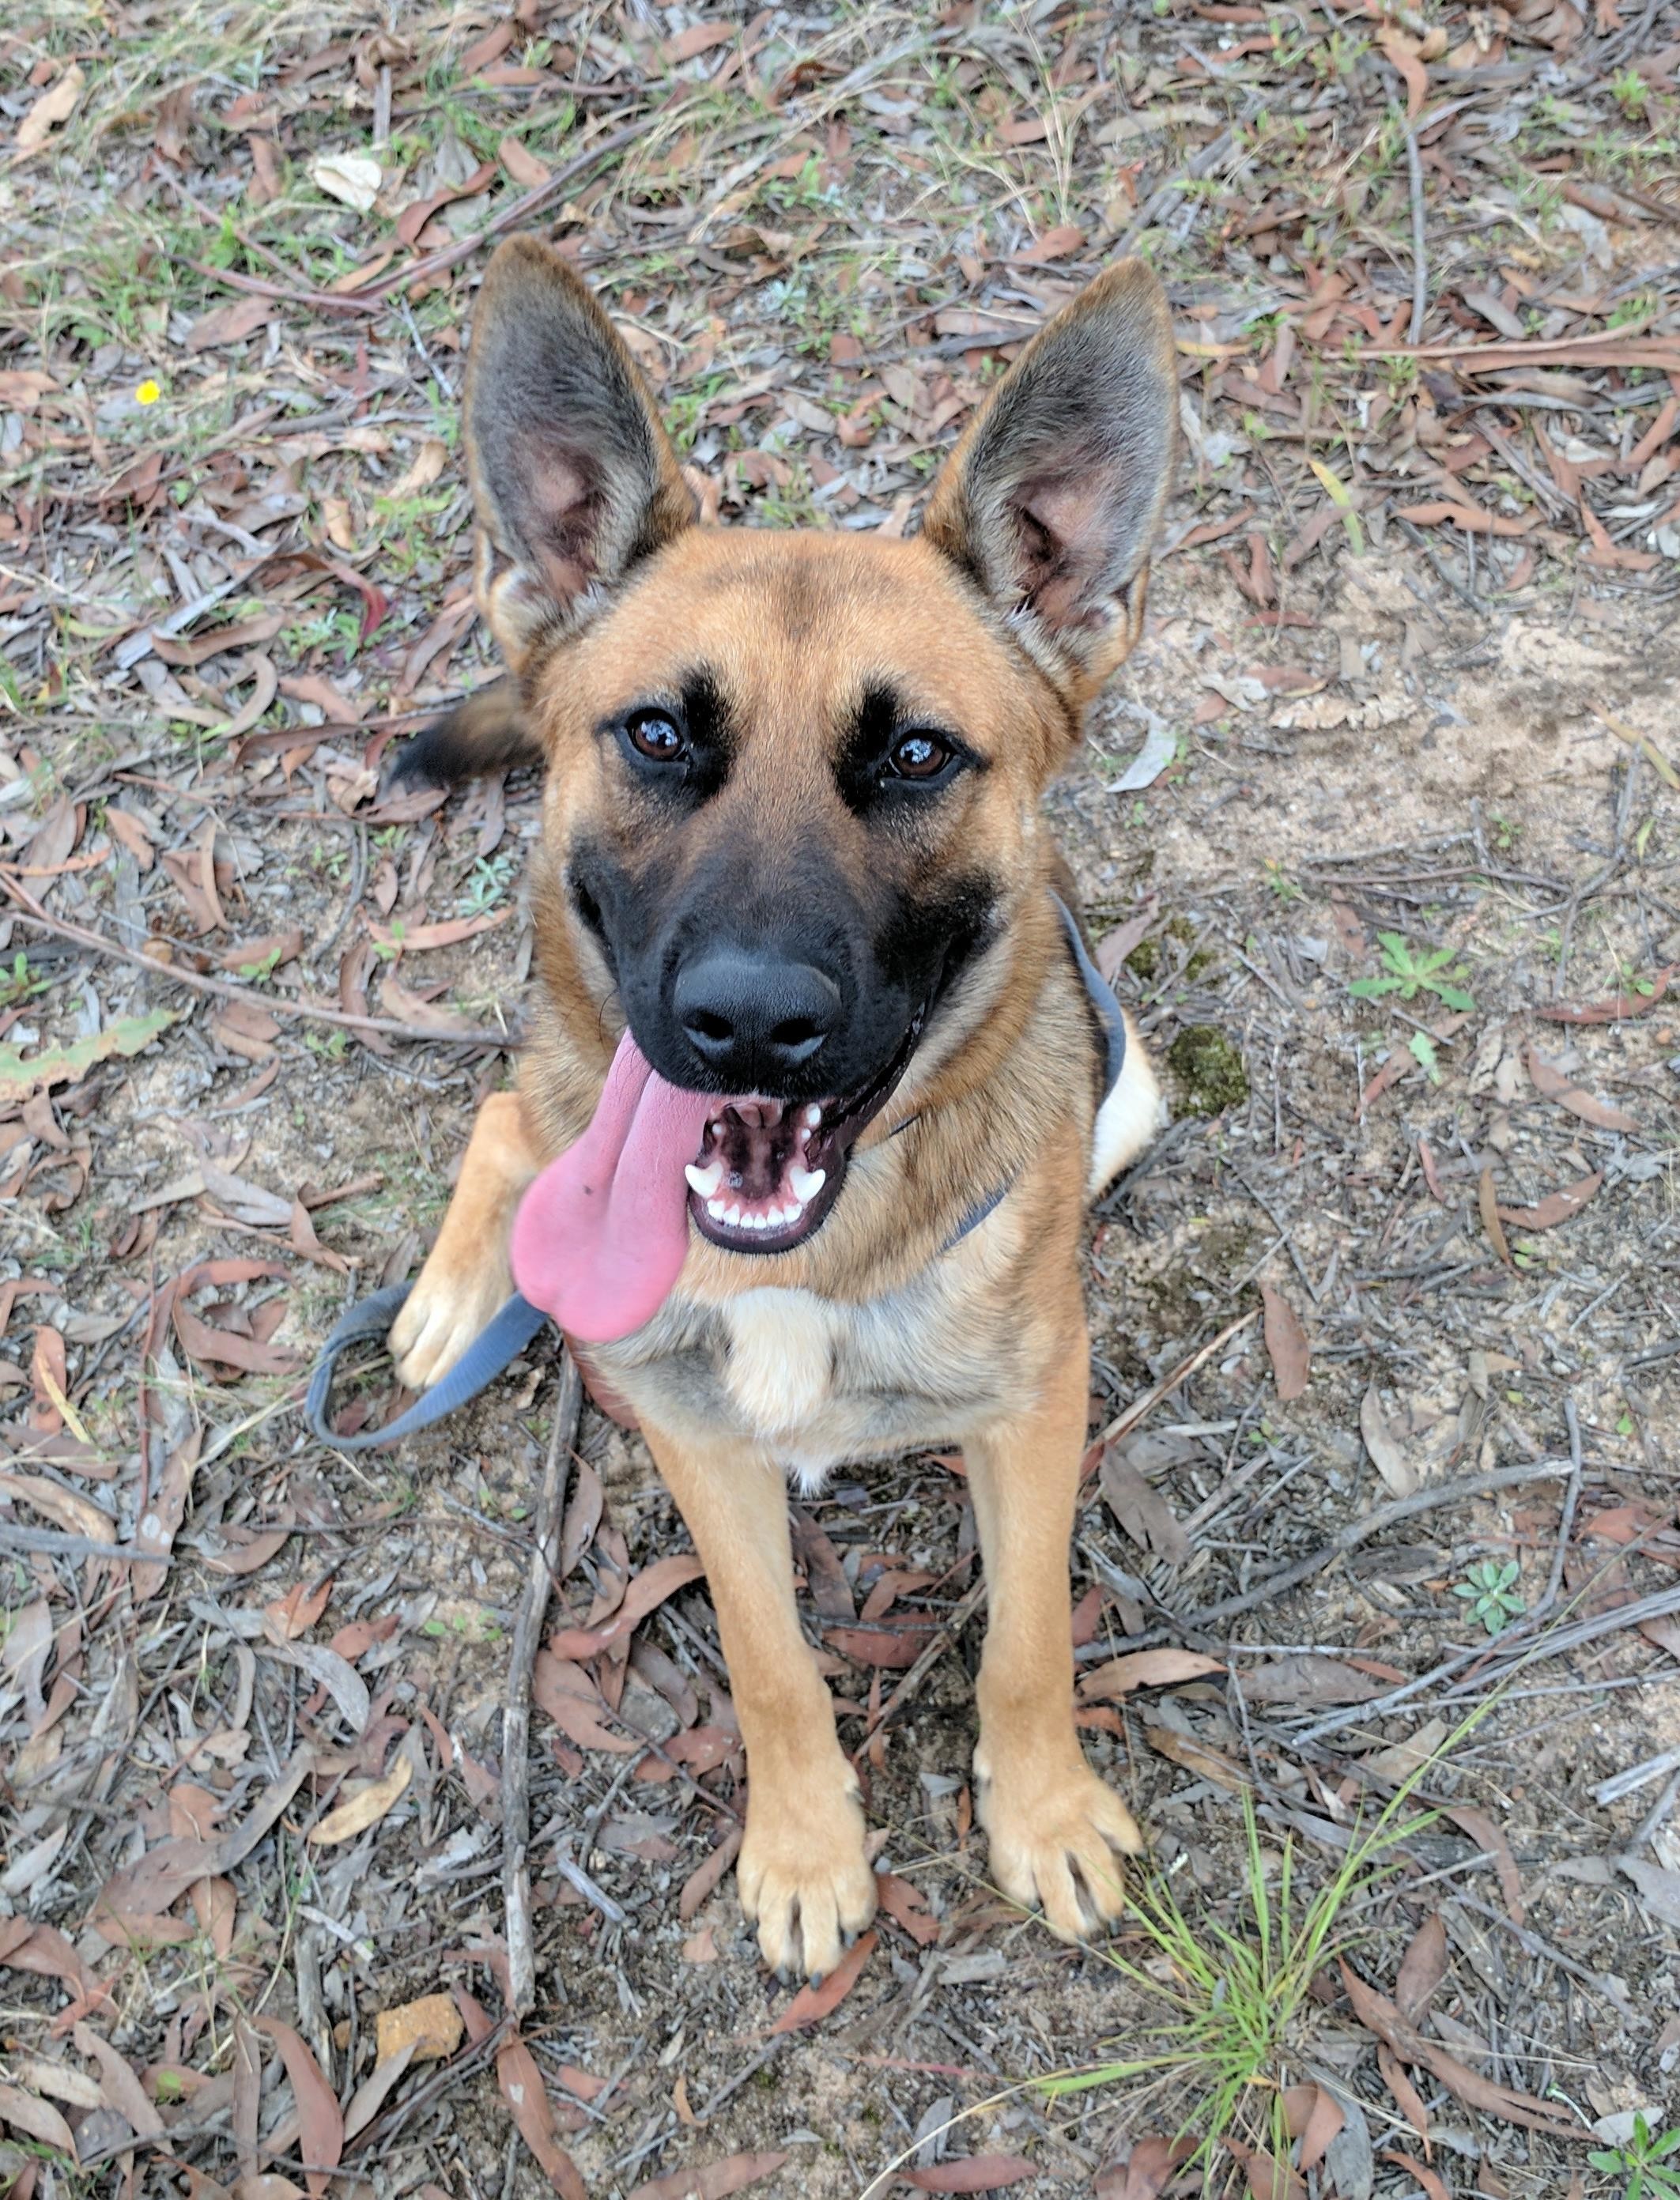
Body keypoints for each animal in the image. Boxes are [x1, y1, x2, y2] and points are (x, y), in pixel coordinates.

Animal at [384, 240, 1178, 1979]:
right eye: (658, 733)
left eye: (919, 754)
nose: (746, 1022)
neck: (804, 1261)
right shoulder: (695, 1437)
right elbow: (769, 1661)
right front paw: (808, 1843)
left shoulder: (1036, 1408)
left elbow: (1027, 1635)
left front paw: (1044, 1812)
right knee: (512, 1113)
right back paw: (460, 1289)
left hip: (1131, 1090)